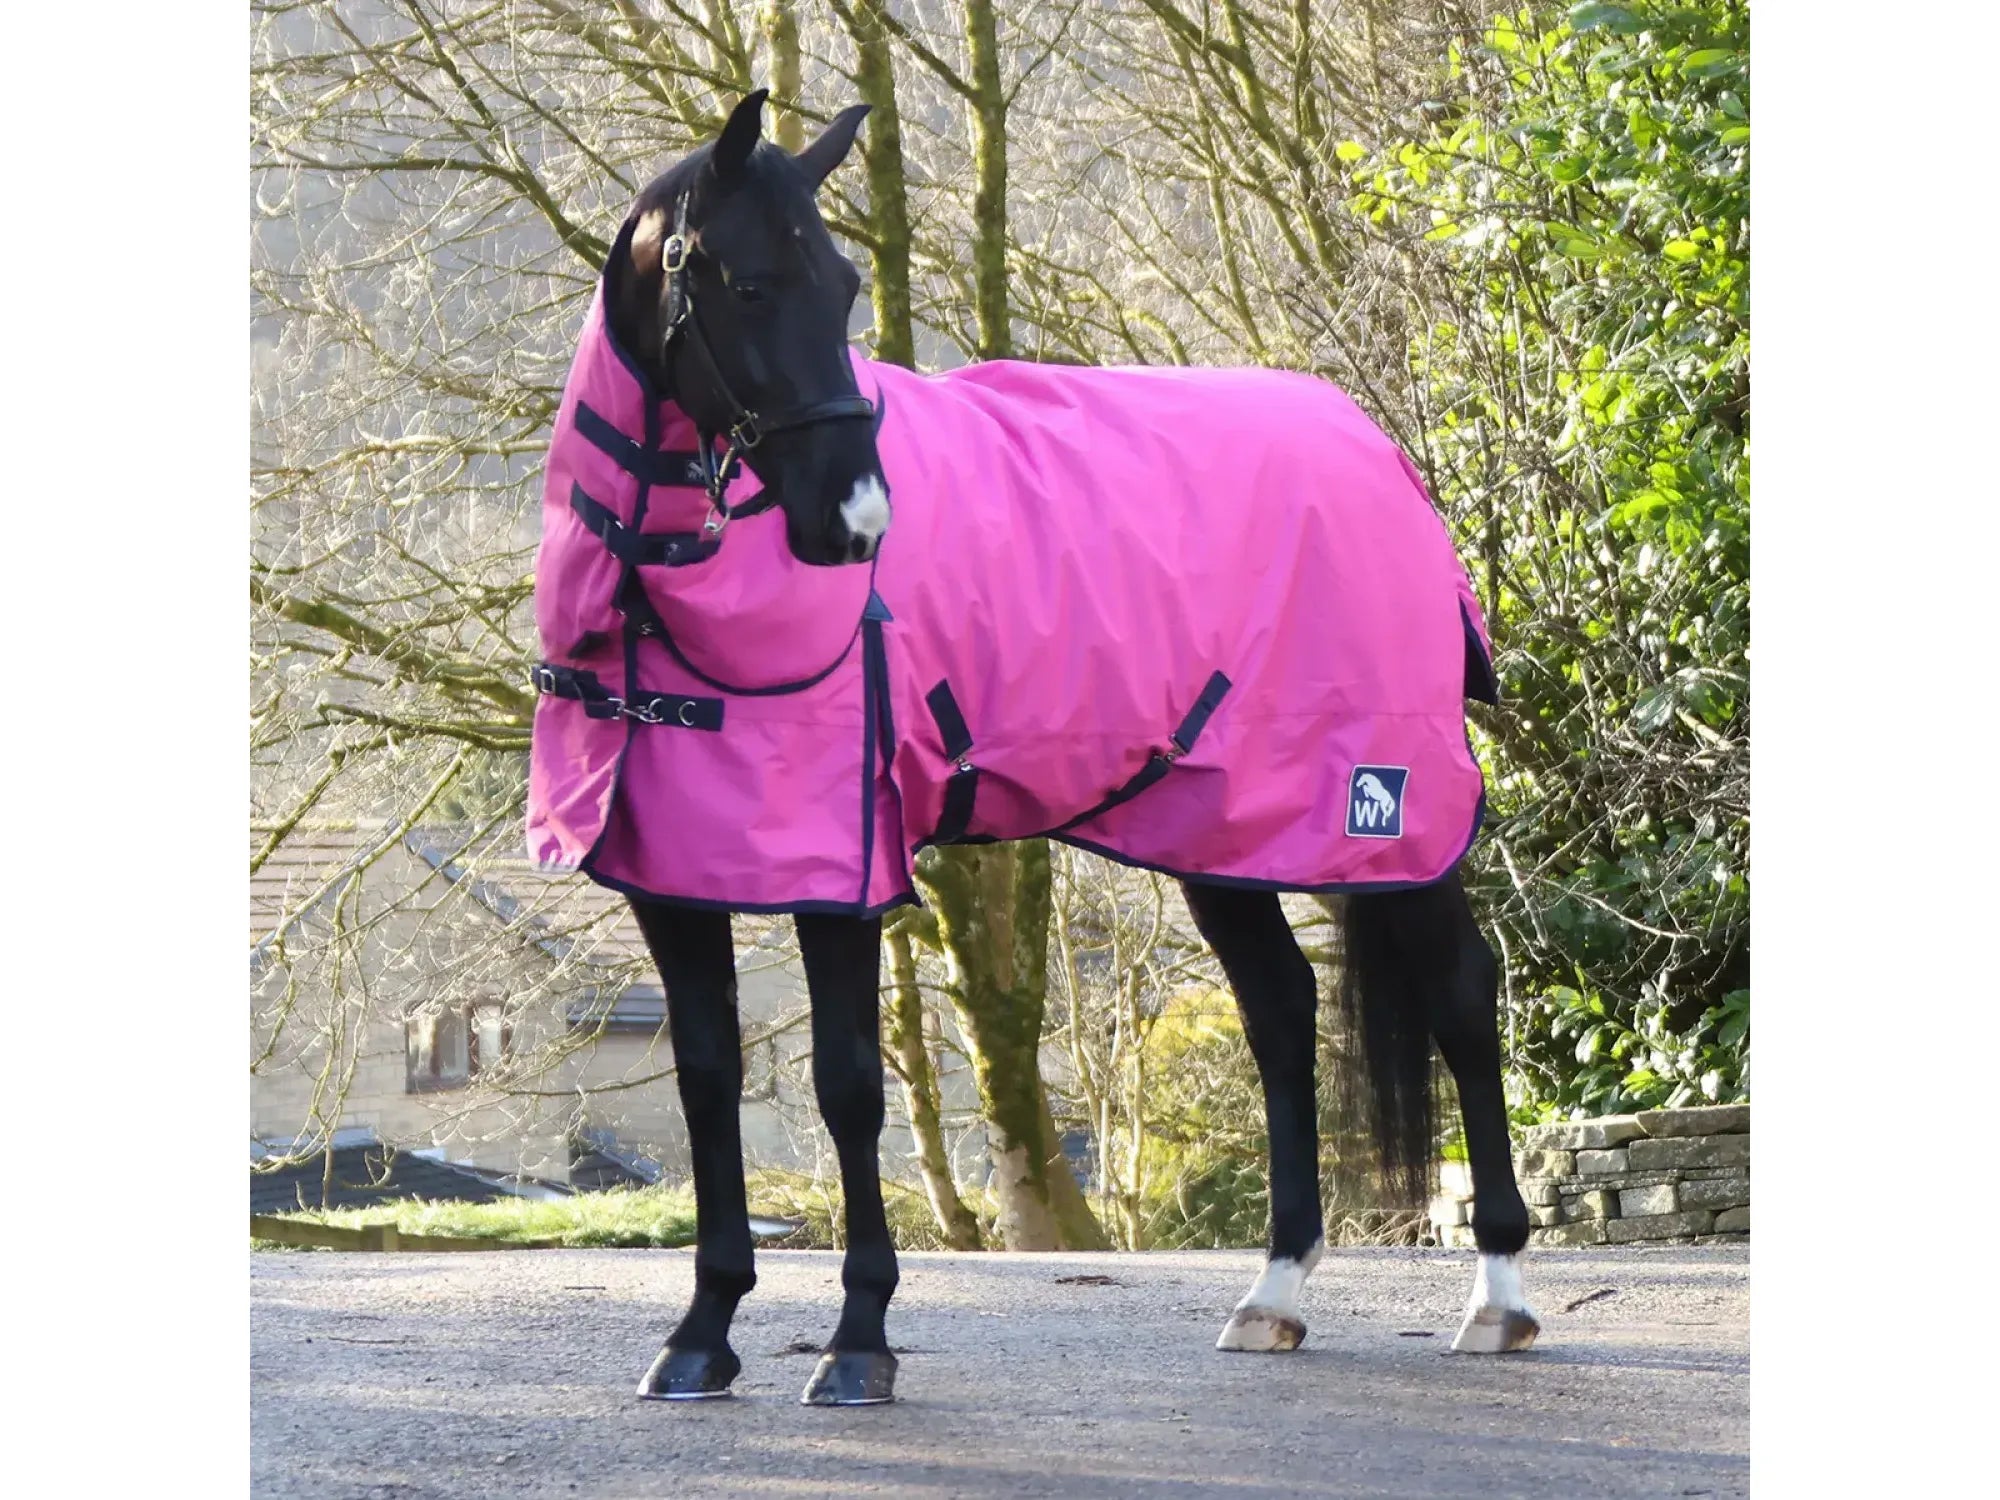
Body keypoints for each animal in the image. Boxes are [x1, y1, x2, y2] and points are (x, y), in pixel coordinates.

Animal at [526, 91, 1539, 1407]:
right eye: (747, 285)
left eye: (843, 286)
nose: (855, 523)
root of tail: (1383, 460)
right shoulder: (670, 878)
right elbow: (707, 1080)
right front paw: (700, 1334)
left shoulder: (844, 866)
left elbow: (847, 1088)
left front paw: (857, 1343)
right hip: (1221, 828)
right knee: (1279, 1009)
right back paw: (1272, 1293)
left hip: (1382, 816)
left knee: (1460, 994)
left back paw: (1498, 1297)